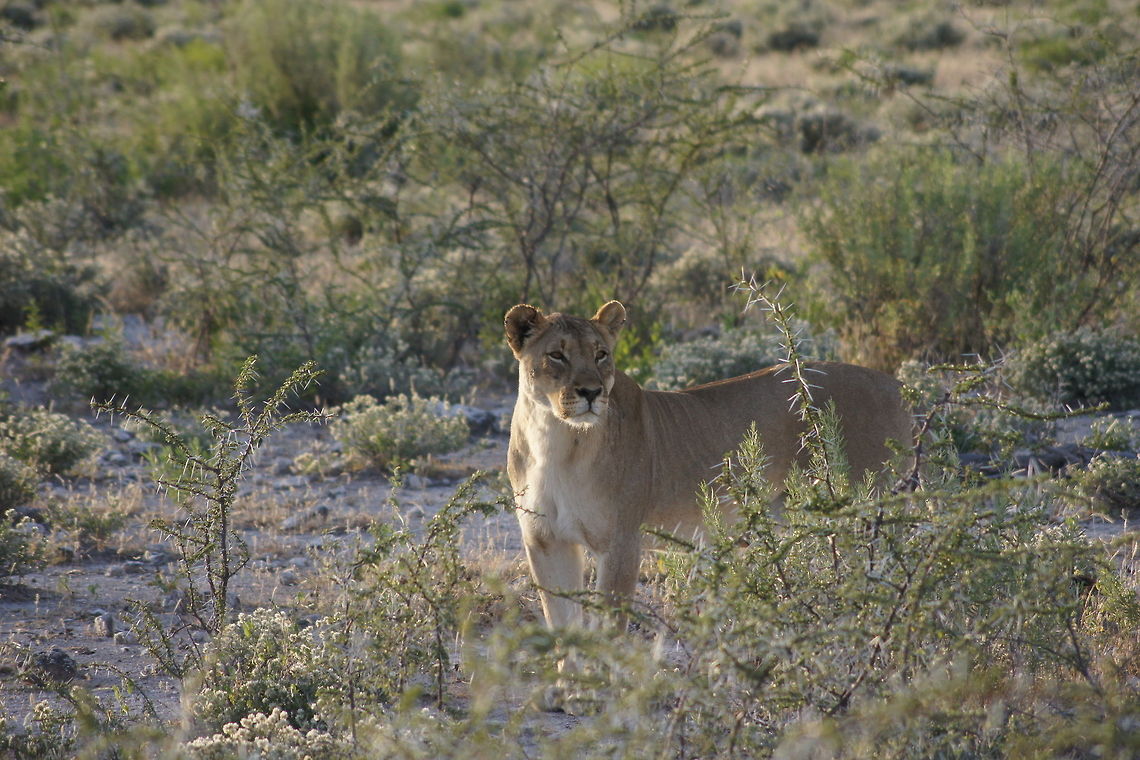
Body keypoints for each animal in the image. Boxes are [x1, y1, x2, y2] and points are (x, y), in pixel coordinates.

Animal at [505, 300, 912, 629]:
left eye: (601, 354)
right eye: (557, 355)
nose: (592, 392)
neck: (556, 441)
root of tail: (896, 385)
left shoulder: (621, 543)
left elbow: (607, 629)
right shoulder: (546, 541)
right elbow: (562, 623)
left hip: (866, 511)